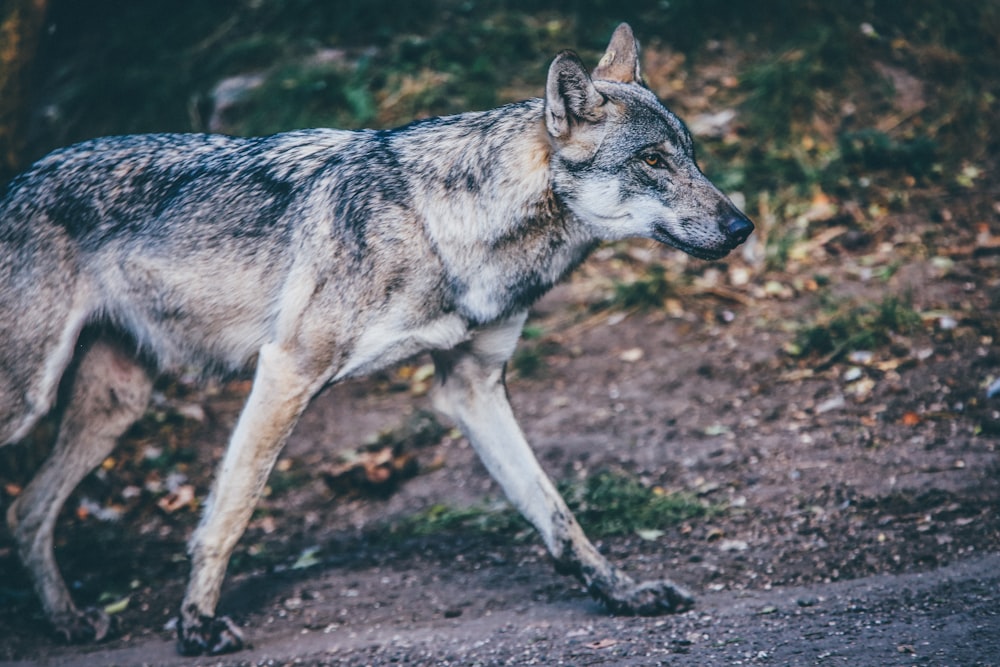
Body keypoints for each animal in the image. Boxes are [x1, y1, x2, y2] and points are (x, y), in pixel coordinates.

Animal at [0, 23, 752, 656]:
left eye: (691, 156)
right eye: (652, 160)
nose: (742, 226)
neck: (445, 228)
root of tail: (16, 180)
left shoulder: (473, 388)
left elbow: (558, 516)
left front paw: (624, 593)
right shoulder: (287, 370)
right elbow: (231, 511)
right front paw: (197, 625)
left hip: (115, 406)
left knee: (28, 509)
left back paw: (68, 621)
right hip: (31, 400)